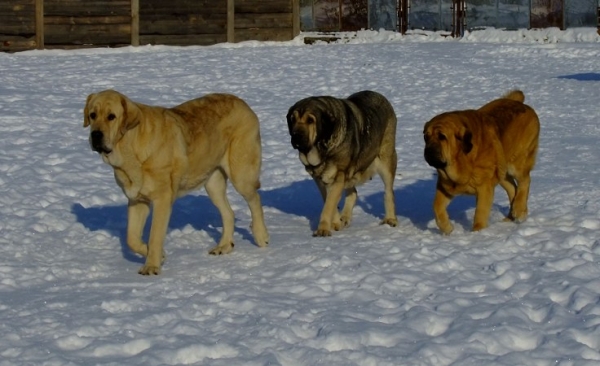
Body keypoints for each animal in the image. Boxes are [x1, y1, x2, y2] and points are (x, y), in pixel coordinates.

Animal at [84, 89, 270, 274]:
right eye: (92, 115)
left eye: (111, 116)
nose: (95, 134)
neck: (130, 148)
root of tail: (243, 103)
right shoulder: (137, 200)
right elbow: (132, 238)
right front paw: (159, 256)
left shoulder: (162, 199)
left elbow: (155, 235)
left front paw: (152, 266)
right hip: (212, 183)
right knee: (228, 213)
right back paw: (224, 246)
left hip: (241, 174)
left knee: (255, 200)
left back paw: (261, 236)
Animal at [286, 90, 398, 236]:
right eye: (292, 120)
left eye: (310, 120)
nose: (296, 136)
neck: (323, 148)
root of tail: (380, 96)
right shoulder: (320, 179)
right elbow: (329, 201)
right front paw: (335, 223)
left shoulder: (338, 175)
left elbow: (328, 205)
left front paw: (323, 229)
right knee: (353, 193)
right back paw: (344, 218)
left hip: (385, 160)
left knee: (388, 192)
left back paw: (390, 219)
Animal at [424, 90, 540, 233]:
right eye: (426, 137)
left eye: (442, 137)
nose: (428, 150)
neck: (463, 159)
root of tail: (520, 103)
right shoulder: (445, 186)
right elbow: (437, 207)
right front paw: (447, 229)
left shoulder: (484, 187)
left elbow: (480, 212)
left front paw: (477, 232)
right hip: (502, 171)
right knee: (513, 188)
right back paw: (510, 217)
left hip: (517, 162)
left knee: (525, 181)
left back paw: (519, 211)